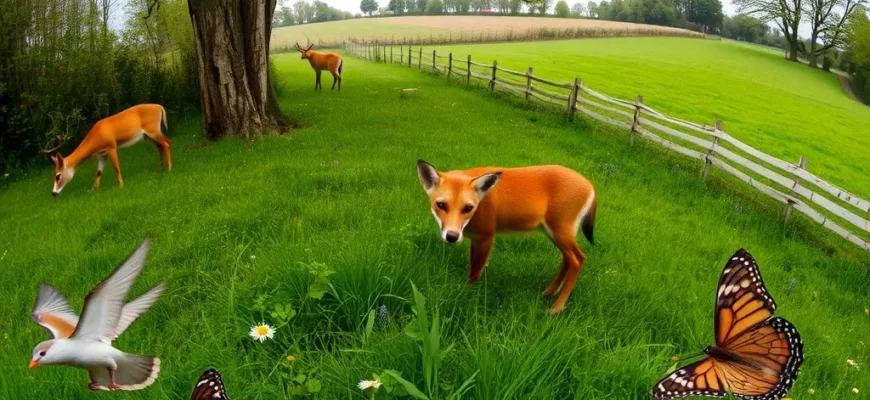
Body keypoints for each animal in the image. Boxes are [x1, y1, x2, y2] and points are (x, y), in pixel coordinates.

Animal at [416, 160, 597, 314]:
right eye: (441, 205)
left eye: (468, 208)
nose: (452, 236)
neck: (481, 201)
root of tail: (591, 186)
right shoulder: (475, 238)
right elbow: (474, 265)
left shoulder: (486, 236)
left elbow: (475, 271)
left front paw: (467, 293)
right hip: (555, 234)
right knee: (567, 260)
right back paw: (549, 293)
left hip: (560, 232)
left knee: (578, 259)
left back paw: (557, 307)